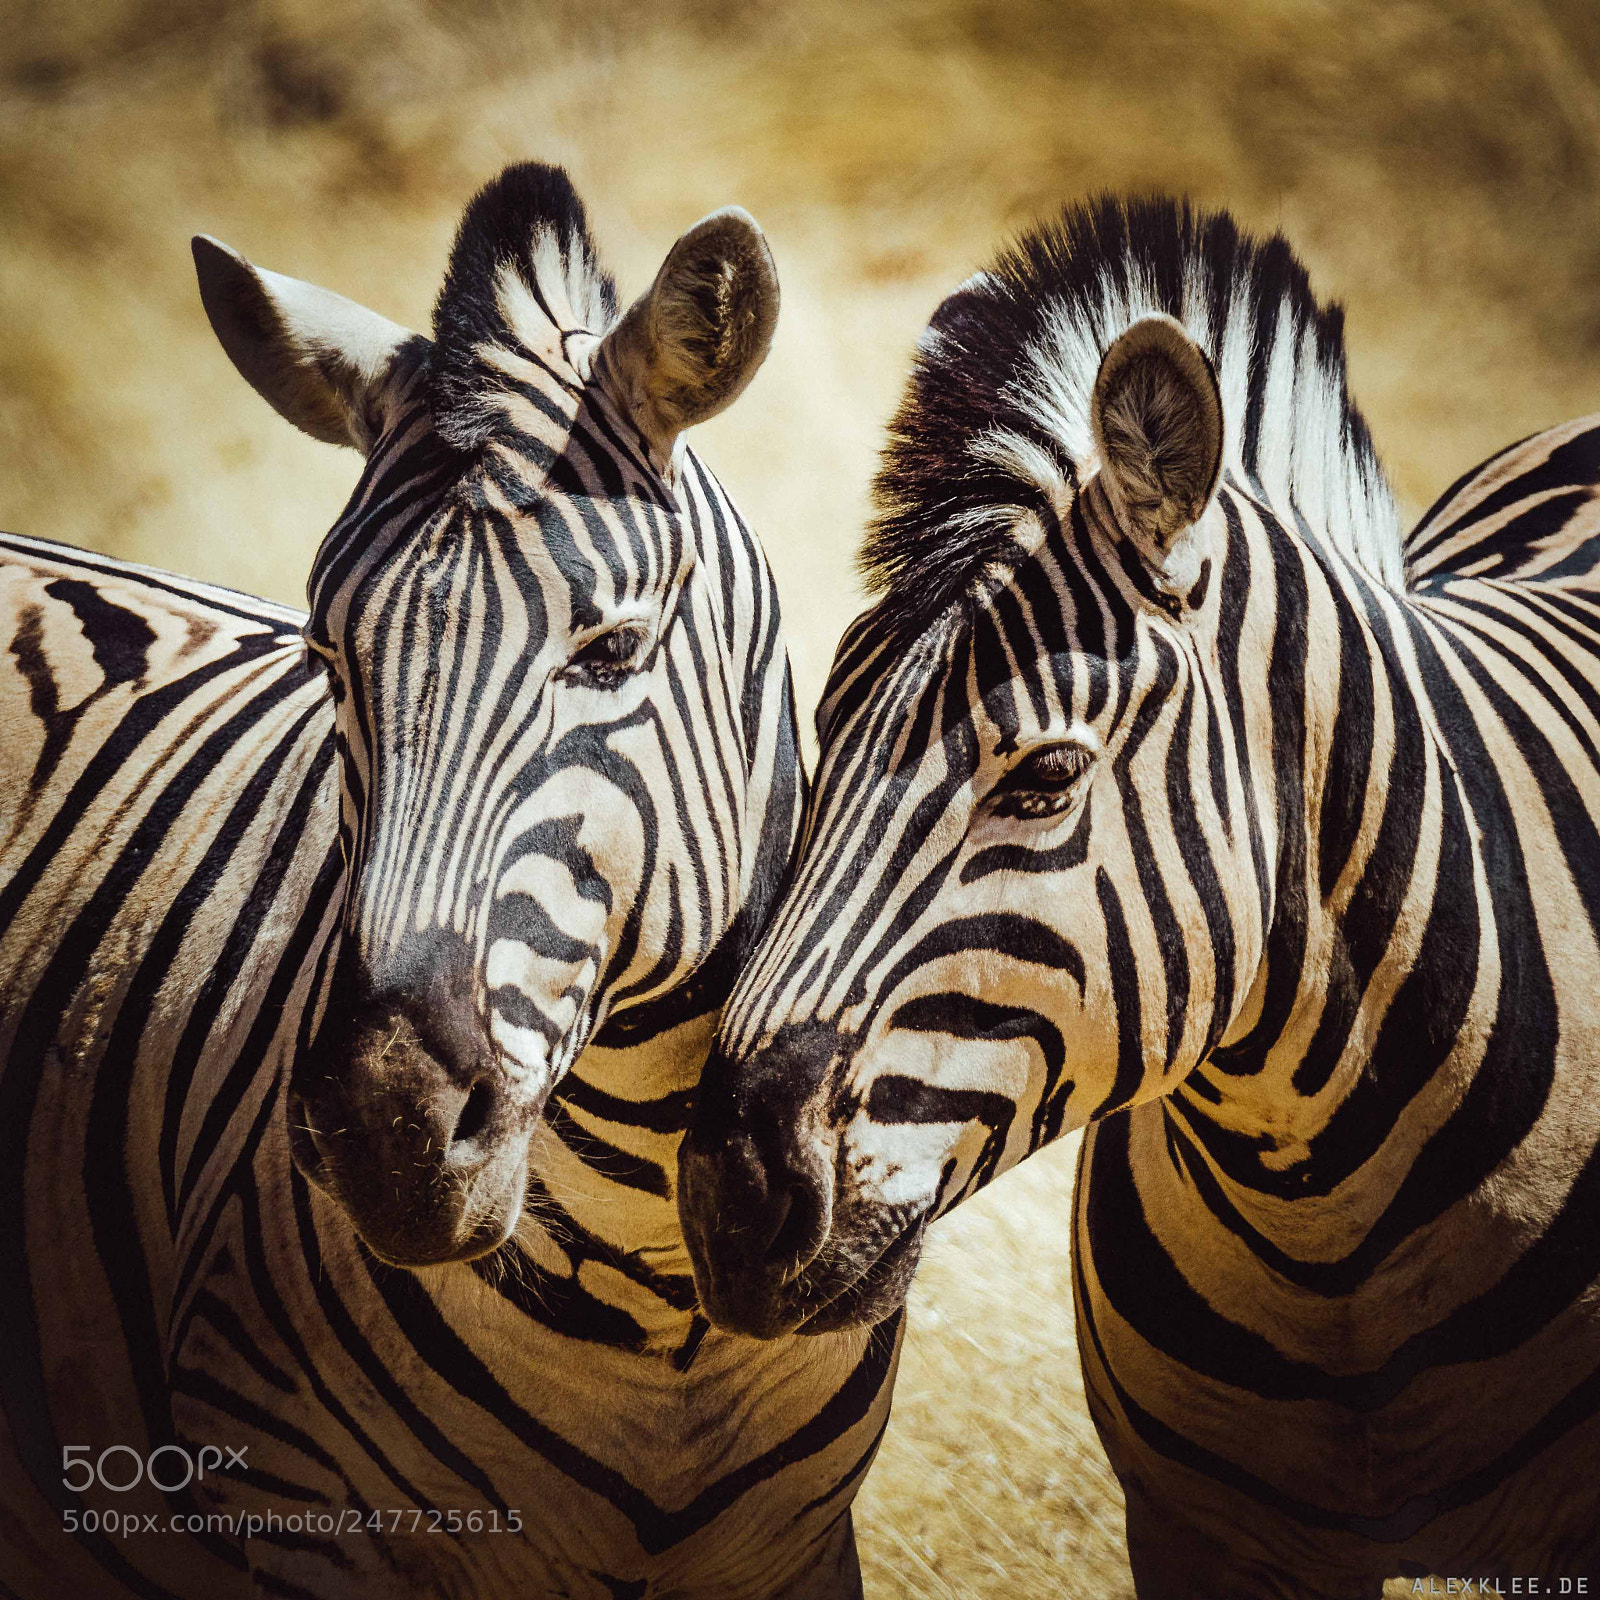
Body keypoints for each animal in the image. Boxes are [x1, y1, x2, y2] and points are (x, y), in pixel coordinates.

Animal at [0, 163, 897, 1599]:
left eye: (613, 649)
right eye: (326, 657)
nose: (385, 1133)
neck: (656, 1307)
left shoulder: (800, 1552)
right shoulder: (290, 1514)